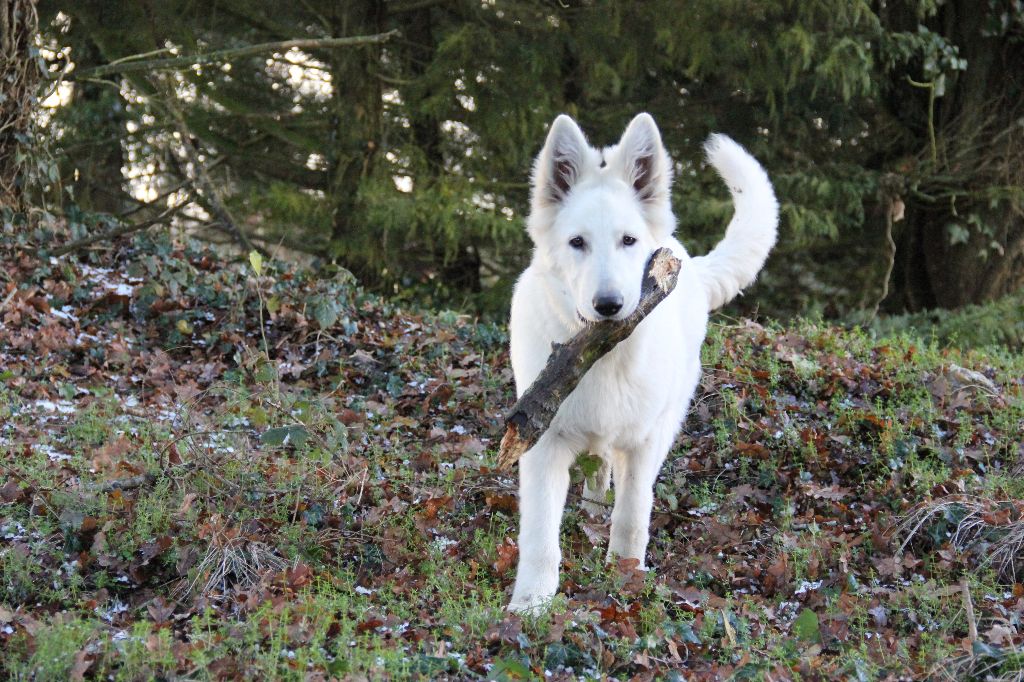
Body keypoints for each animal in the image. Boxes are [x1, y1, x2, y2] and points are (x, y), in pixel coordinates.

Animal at [507, 111, 778, 610]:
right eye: (577, 243)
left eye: (628, 240)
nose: (609, 305)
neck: (600, 356)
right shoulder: (541, 443)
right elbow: (539, 537)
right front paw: (530, 608)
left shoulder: (642, 442)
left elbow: (633, 515)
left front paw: (625, 578)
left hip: (666, 419)